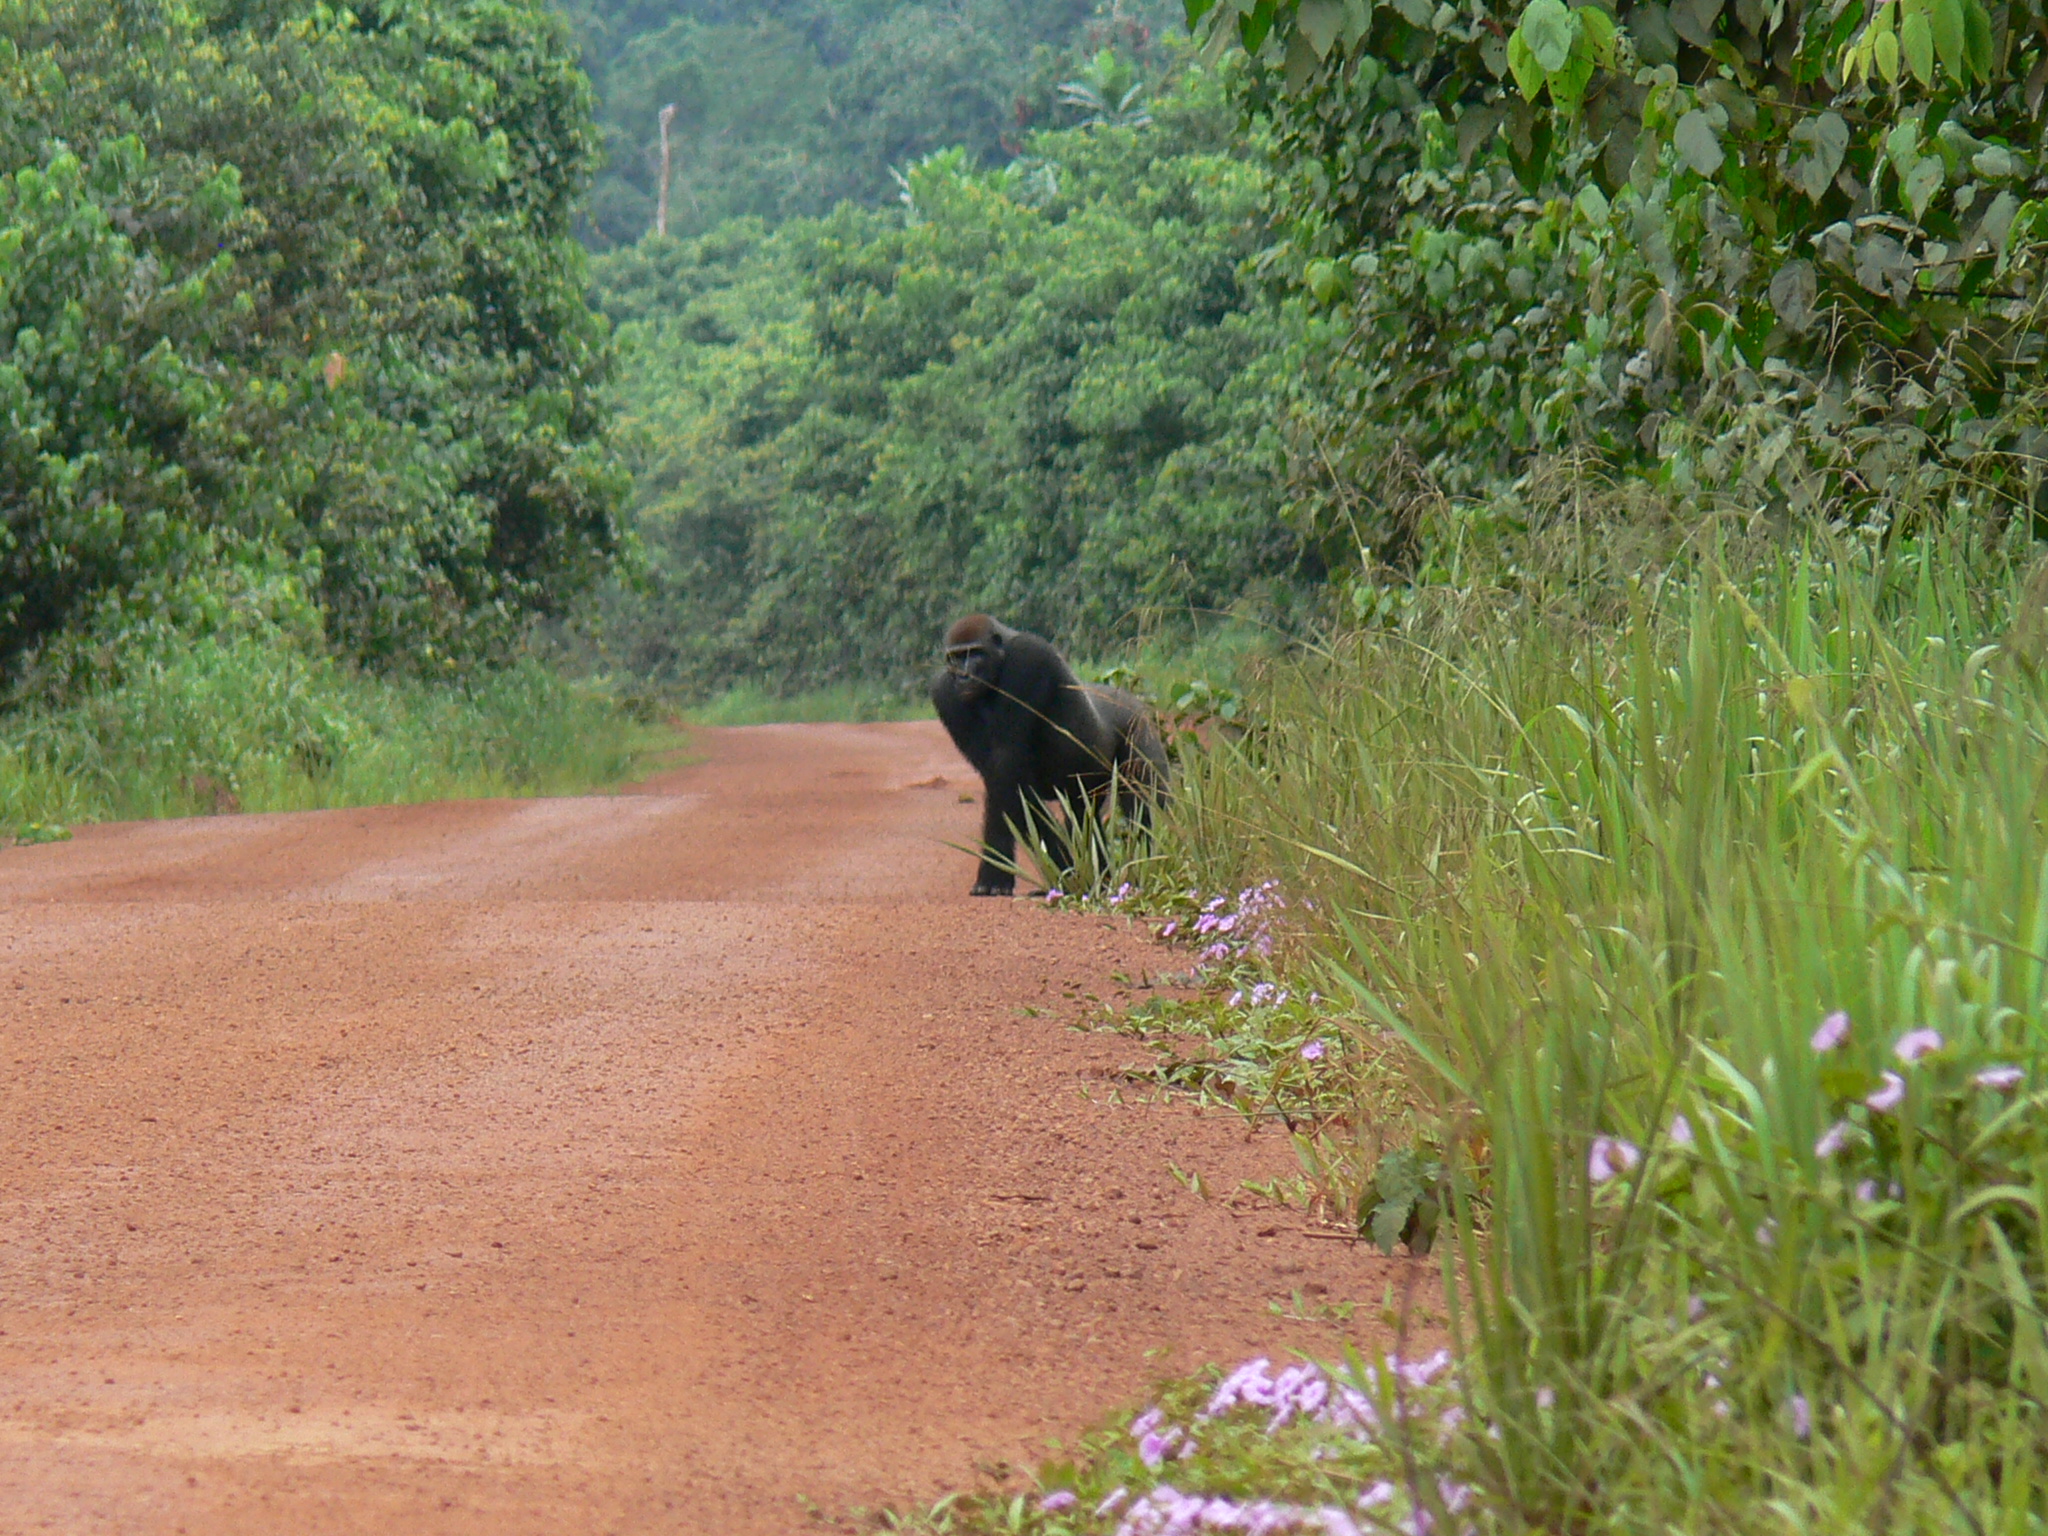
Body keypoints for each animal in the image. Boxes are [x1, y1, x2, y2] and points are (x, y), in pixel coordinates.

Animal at [929, 618, 1171, 901]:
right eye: (955, 658)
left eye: (974, 654)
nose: (963, 675)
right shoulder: (944, 693)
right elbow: (1013, 789)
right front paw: (1064, 875)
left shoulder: (1028, 658)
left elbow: (1005, 770)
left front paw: (994, 875)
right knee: (1082, 814)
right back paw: (1098, 878)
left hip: (1138, 724)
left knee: (1142, 804)